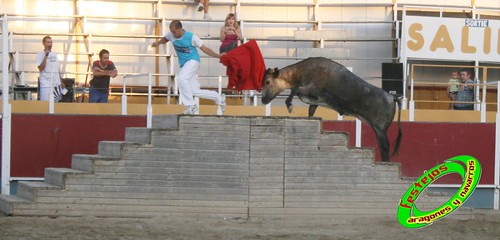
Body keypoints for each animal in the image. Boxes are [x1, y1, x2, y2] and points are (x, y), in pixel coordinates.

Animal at [262, 56, 402, 161]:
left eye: (267, 82)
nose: (263, 100)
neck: (300, 72)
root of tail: (392, 96)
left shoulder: (311, 89)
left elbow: (294, 89)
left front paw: (289, 105)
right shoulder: (314, 101)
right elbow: (311, 111)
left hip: (380, 129)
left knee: (385, 146)